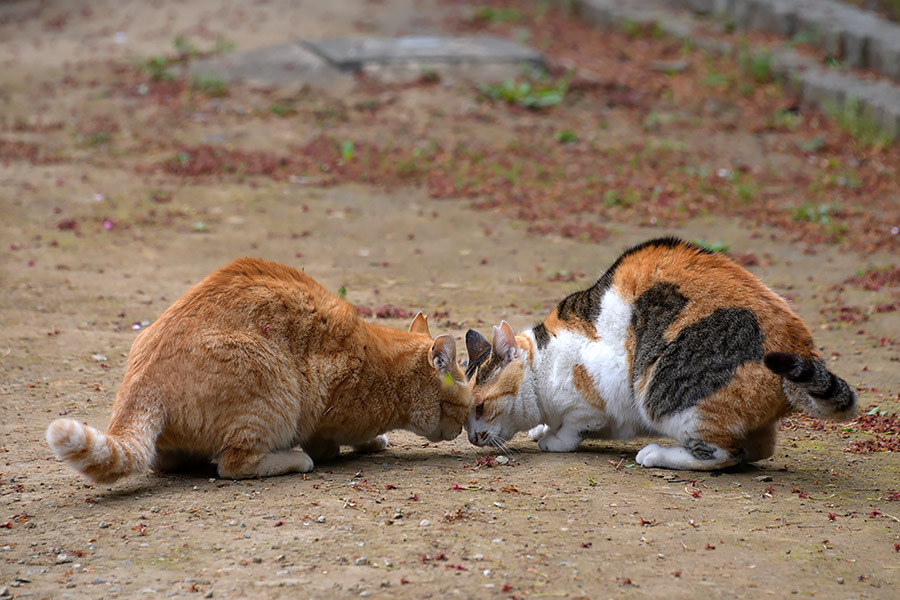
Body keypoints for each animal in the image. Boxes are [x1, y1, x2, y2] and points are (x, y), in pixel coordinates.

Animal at [46, 258, 472, 482]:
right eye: (466, 409)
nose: (463, 431)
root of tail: (138, 384)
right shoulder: (323, 414)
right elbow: (331, 441)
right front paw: (350, 445)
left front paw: (374, 440)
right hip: (273, 391)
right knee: (232, 465)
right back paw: (294, 460)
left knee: (168, 462)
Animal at [464, 237, 856, 472]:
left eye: (480, 407)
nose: (471, 437)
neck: (545, 363)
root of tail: (801, 345)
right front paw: (542, 428)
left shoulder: (597, 387)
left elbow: (574, 428)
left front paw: (553, 439)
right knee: (757, 450)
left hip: (664, 395)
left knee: (724, 454)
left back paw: (654, 454)